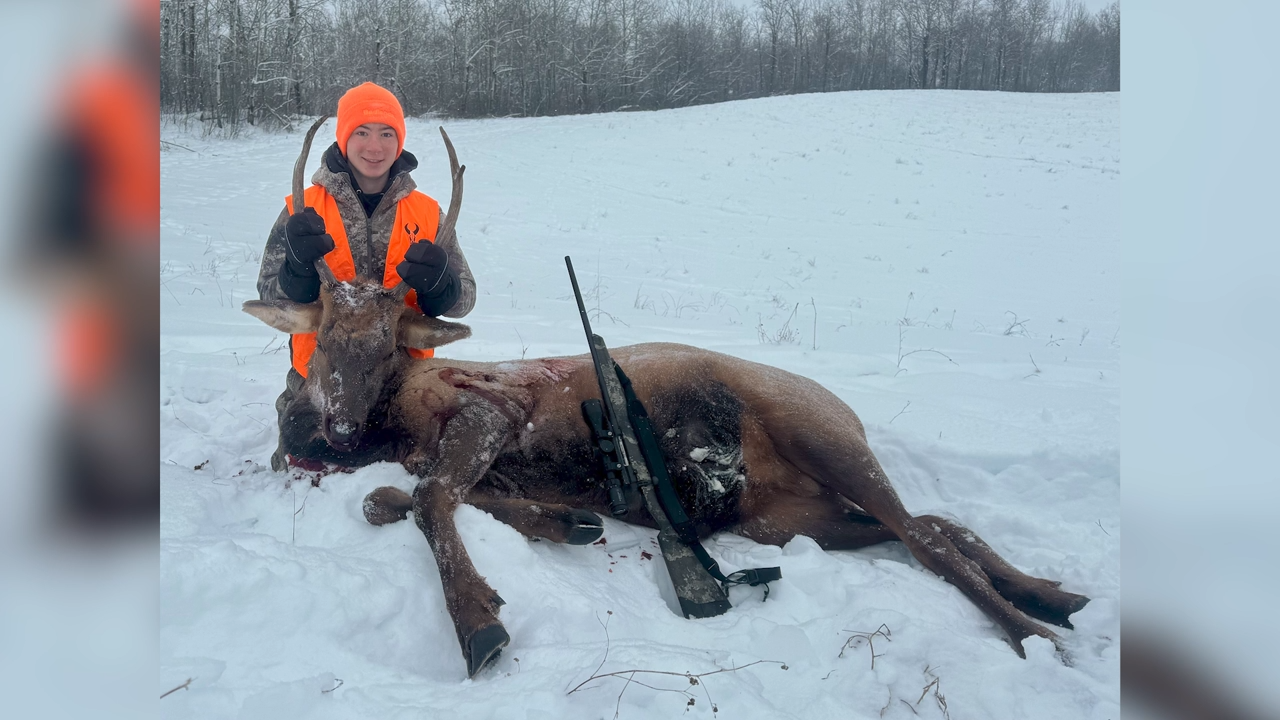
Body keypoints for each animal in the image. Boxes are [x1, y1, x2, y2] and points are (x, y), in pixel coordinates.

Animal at [243, 117, 1090, 678]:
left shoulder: (492, 408)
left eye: (386, 344)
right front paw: (569, 522)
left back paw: (1035, 632)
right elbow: (405, 497)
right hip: (787, 516)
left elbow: (425, 499)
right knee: (927, 523)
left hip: (820, 432)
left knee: (923, 534)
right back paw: (1056, 594)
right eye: (326, 338)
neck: (399, 420)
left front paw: (479, 622)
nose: (333, 430)